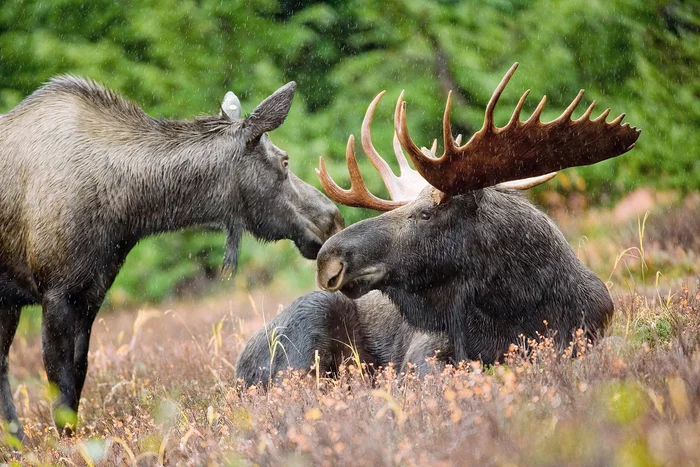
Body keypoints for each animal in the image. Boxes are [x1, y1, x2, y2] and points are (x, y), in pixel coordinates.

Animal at [0, 77, 344, 440]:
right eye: (285, 161)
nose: (332, 218)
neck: (127, 210)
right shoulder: (56, 292)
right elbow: (61, 386)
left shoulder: (91, 293)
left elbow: (78, 375)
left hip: (8, 303)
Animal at [236, 63, 640, 387]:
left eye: (426, 214)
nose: (328, 259)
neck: (521, 306)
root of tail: (238, 368)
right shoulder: (425, 351)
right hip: (308, 328)